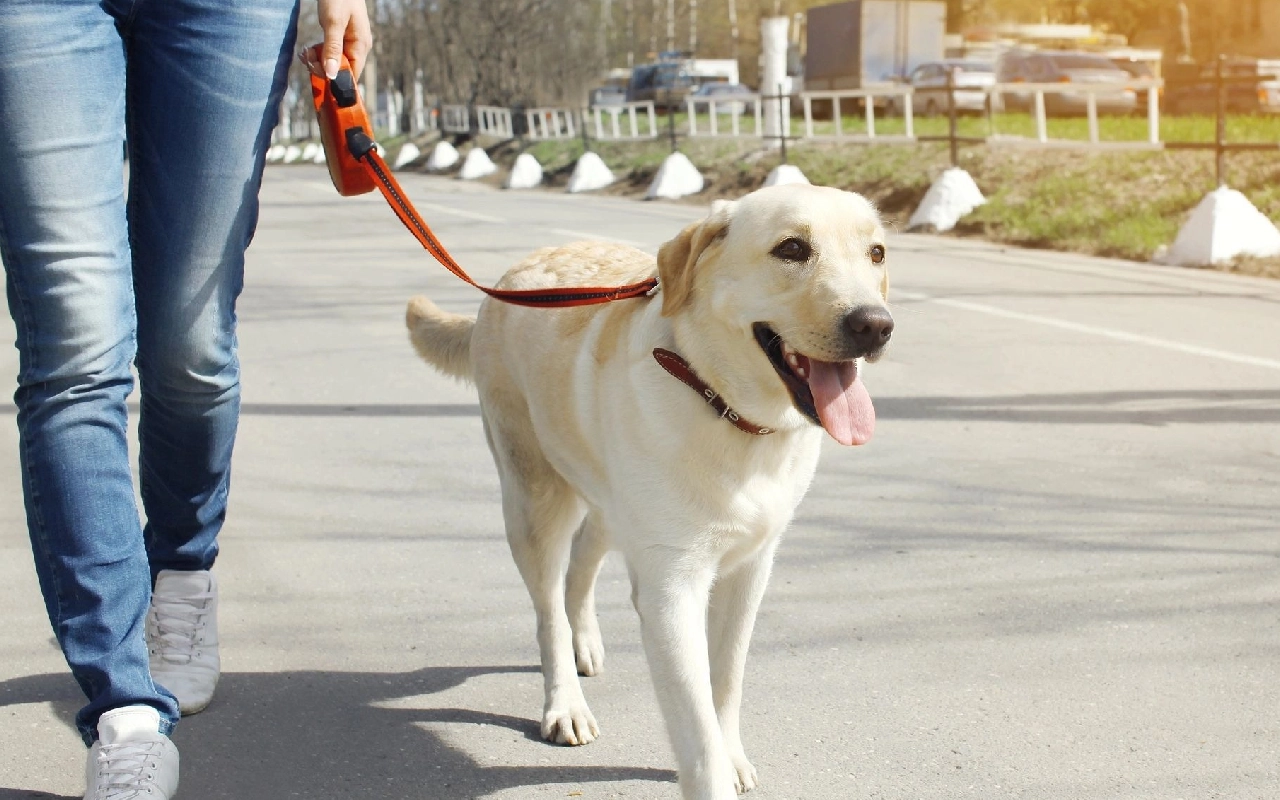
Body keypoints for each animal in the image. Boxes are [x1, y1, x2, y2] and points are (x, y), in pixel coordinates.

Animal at [407, 184, 890, 793]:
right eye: (792, 249)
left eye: (876, 253)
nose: (875, 325)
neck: (724, 408)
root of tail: (512, 276)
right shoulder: (672, 587)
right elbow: (696, 728)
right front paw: (714, 773)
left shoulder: (751, 569)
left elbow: (726, 679)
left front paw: (732, 753)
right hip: (533, 500)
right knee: (548, 609)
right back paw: (565, 701)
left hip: (611, 504)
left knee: (583, 563)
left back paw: (585, 639)